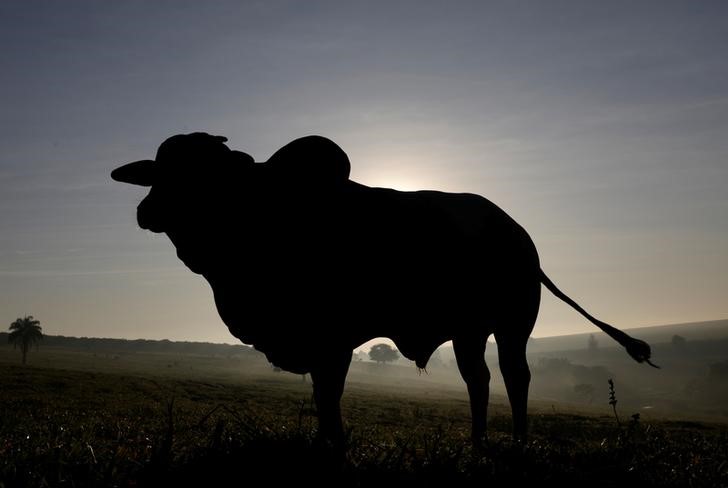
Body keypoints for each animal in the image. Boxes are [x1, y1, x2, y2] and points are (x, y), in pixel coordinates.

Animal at [111, 132, 656, 444]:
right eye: (159, 171)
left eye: (207, 172)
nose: (146, 211)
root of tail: (519, 236)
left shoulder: (332, 342)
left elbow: (329, 399)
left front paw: (333, 448)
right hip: (469, 332)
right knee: (478, 379)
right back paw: (477, 443)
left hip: (512, 325)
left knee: (515, 377)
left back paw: (517, 443)